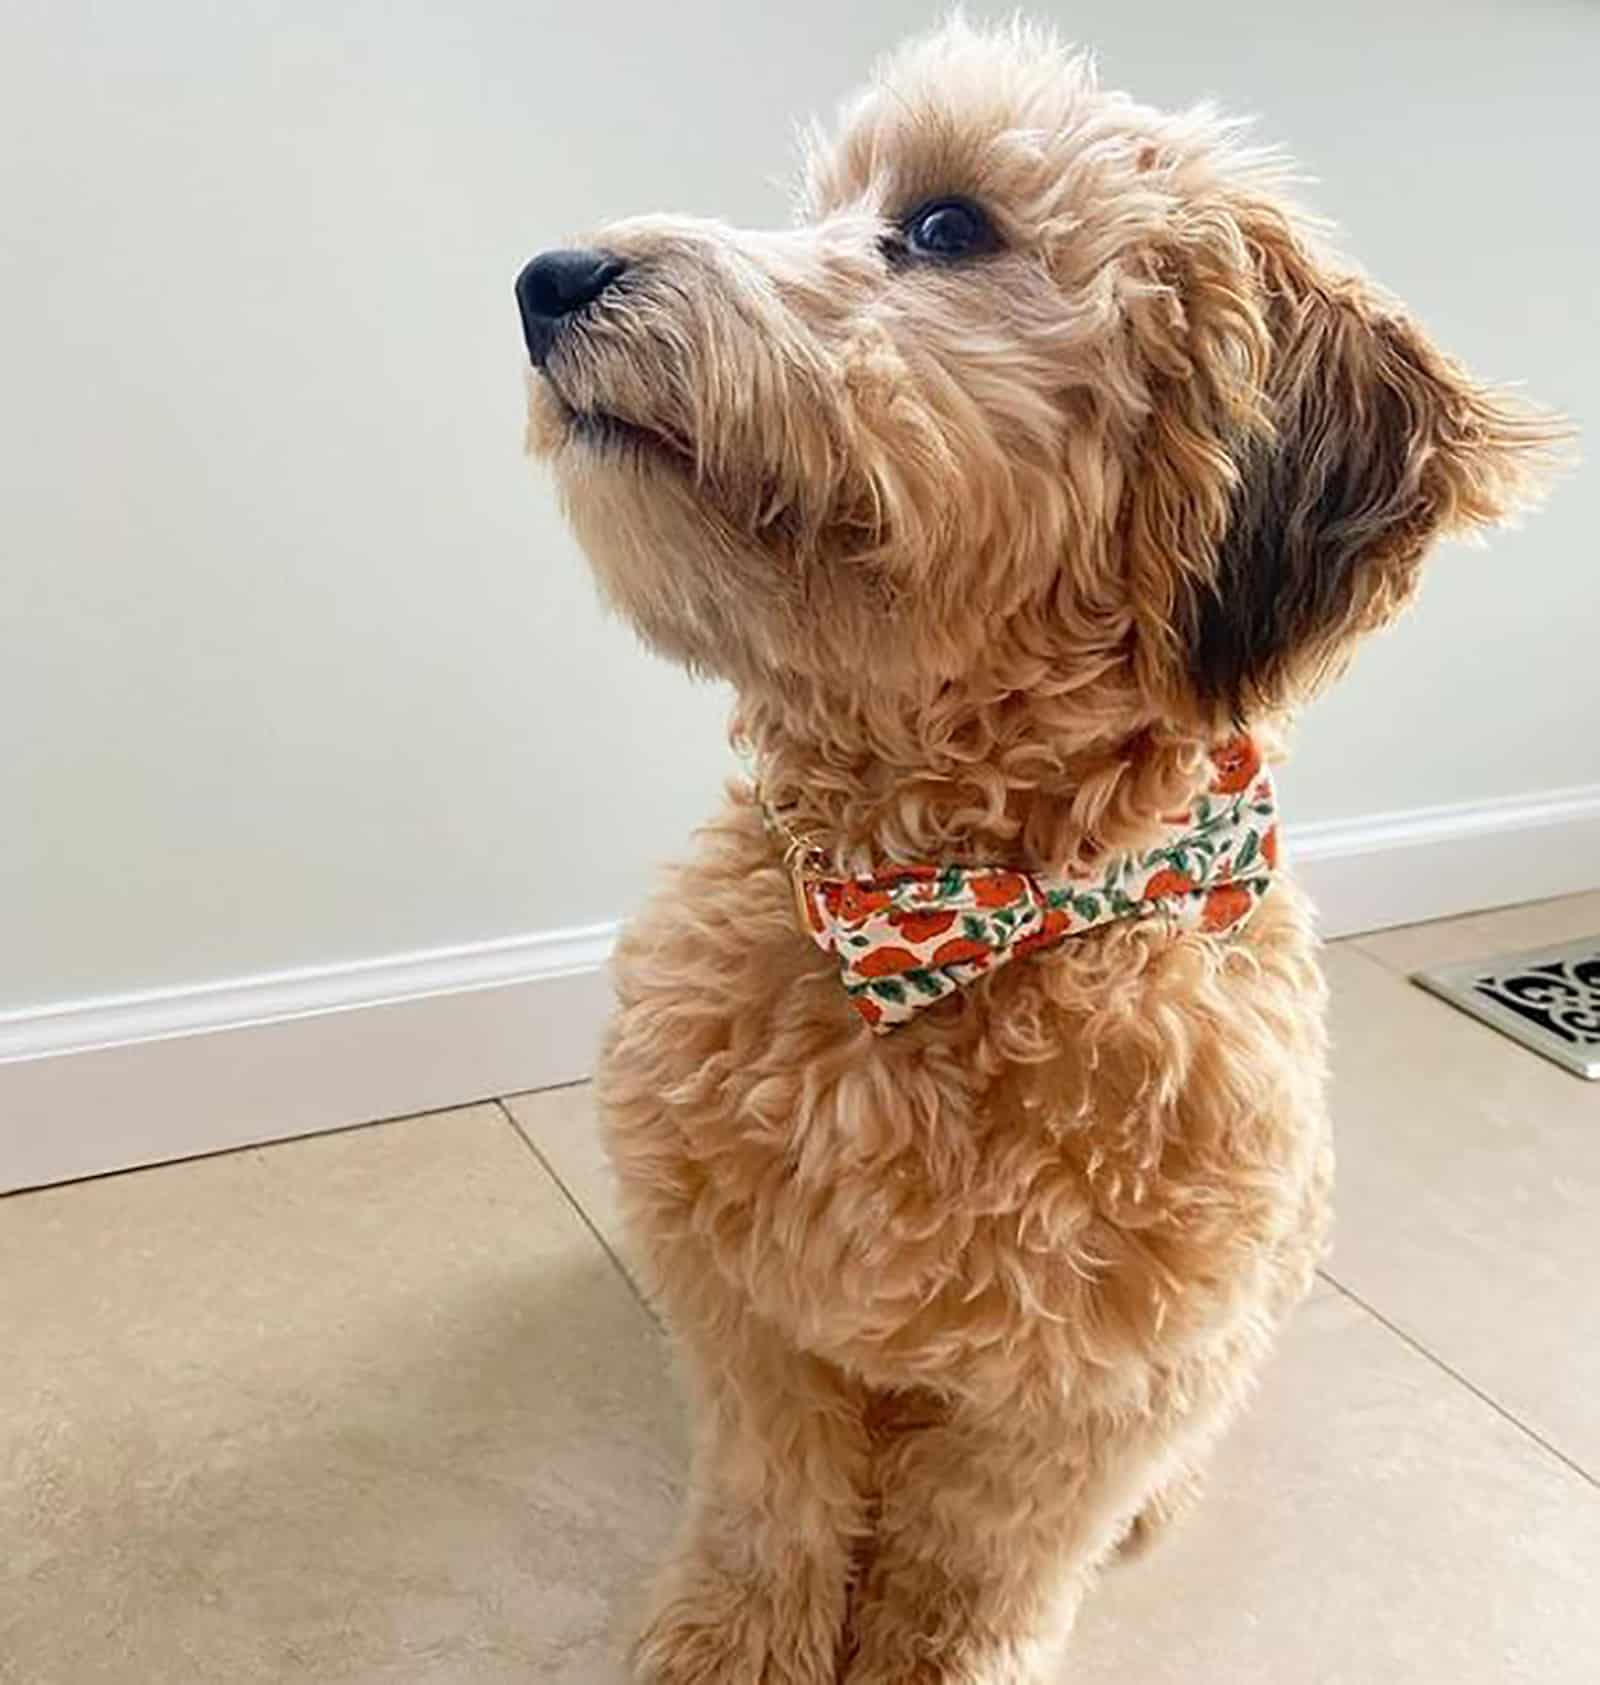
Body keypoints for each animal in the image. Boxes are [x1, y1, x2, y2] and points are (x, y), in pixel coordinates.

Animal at [515, 16, 1562, 1685]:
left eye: (947, 227)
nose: (547, 277)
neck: (942, 916)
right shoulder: (752, 1317)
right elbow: (770, 1501)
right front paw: (734, 1640)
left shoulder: (1096, 1385)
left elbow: (973, 1561)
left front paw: (929, 1650)